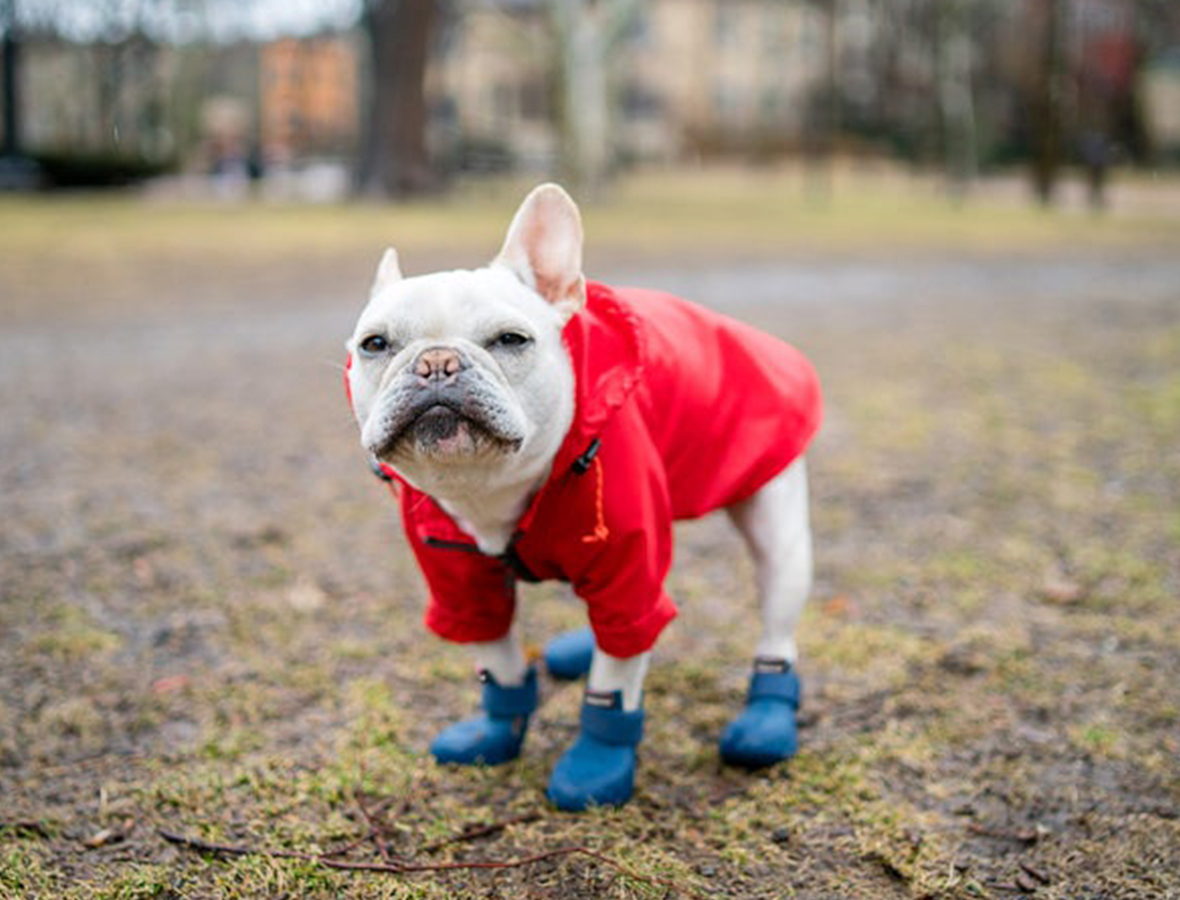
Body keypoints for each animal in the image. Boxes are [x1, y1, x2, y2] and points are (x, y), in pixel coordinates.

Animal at [344, 186, 821, 811]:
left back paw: (766, 719)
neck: (491, 489)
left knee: (776, 623)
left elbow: (613, 680)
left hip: (777, 532)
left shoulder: (626, 582)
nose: (437, 362)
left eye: (511, 340)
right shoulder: (460, 581)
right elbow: (497, 658)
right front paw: (494, 733)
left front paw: (596, 764)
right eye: (374, 344)